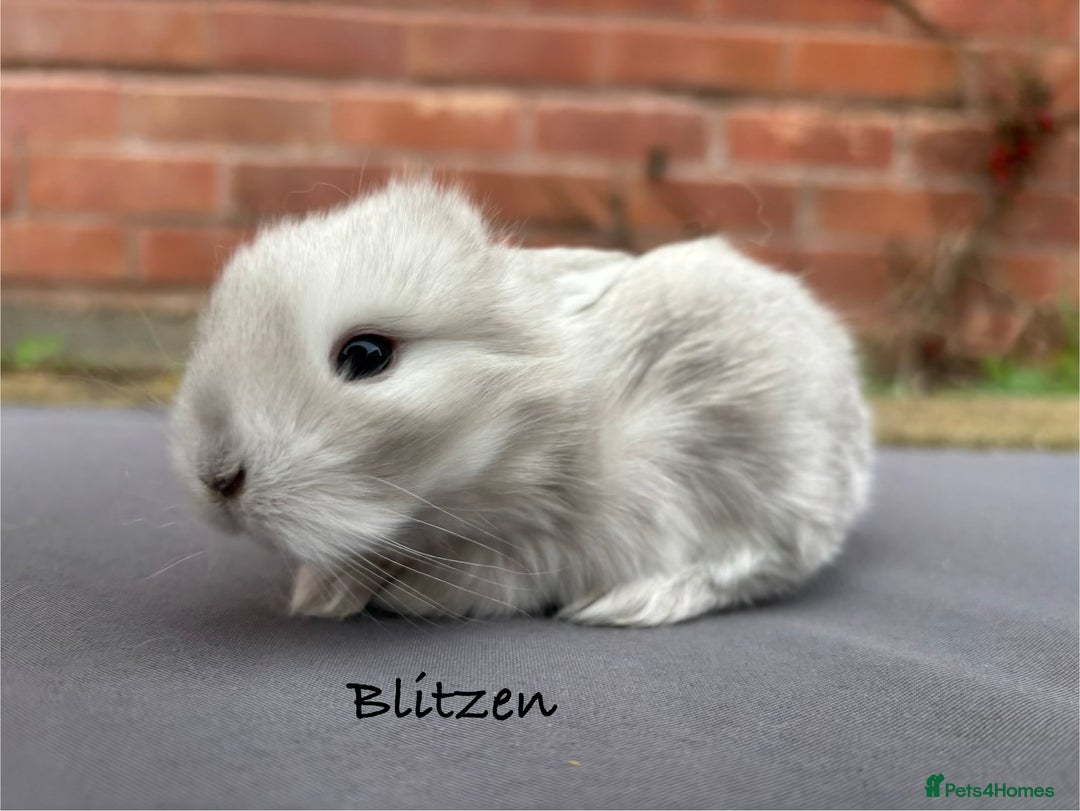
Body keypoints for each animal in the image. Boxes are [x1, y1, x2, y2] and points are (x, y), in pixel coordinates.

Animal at [170, 177, 873, 627]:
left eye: (367, 355)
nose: (217, 478)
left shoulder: (535, 549)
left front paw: (389, 596)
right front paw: (324, 592)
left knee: (767, 559)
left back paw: (635, 603)